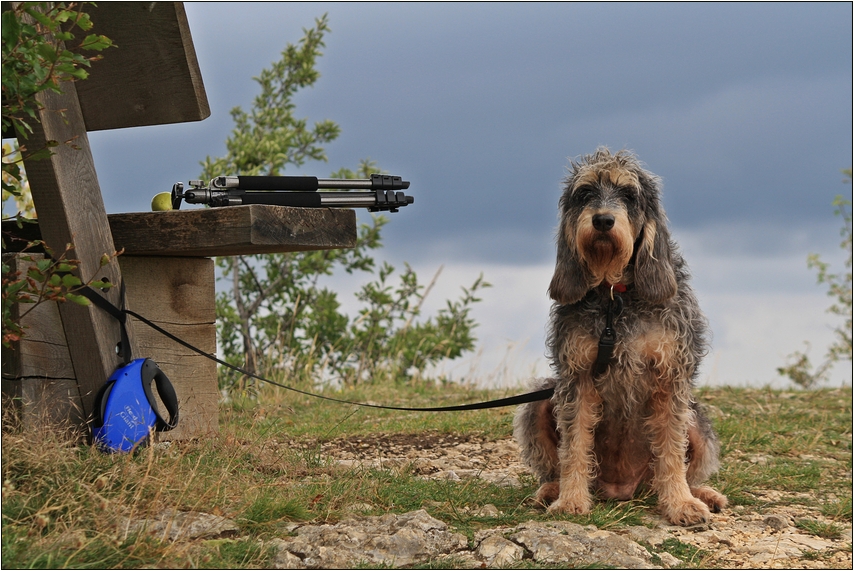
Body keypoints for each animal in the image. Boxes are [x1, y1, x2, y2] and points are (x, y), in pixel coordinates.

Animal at [516, 147, 728, 528]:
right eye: (585, 193)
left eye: (629, 195)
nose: (602, 221)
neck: (616, 296)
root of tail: (622, 490)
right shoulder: (577, 379)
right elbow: (574, 446)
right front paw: (571, 500)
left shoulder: (671, 377)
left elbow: (671, 449)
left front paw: (680, 504)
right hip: (540, 401)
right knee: (553, 461)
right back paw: (552, 490)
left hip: (698, 422)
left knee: (683, 467)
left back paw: (702, 495)